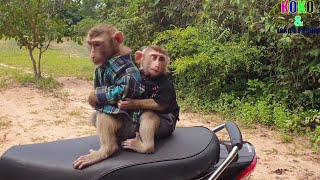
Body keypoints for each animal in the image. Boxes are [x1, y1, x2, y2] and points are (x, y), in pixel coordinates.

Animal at [73, 23, 144, 169]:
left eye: (97, 44)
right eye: (90, 44)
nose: (92, 54)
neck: (113, 55)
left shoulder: (120, 66)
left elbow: (128, 86)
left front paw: (92, 97)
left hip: (129, 129)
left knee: (106, 111)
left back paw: (107, 149)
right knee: (95, 114)